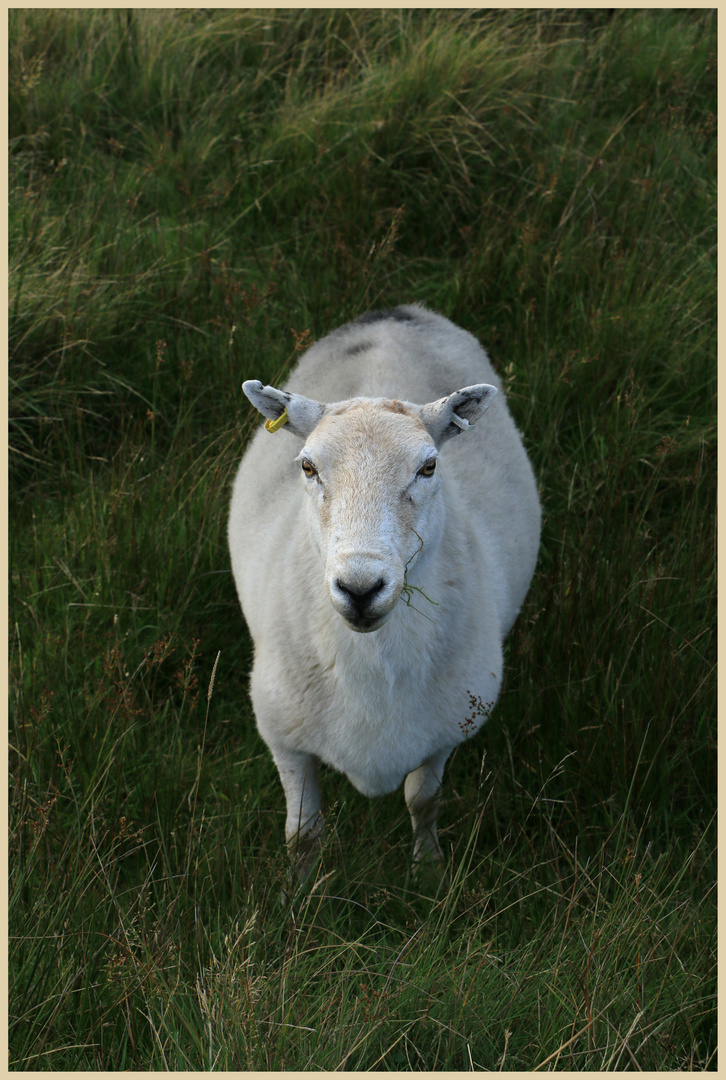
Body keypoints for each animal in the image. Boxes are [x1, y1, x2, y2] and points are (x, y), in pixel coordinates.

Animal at [226, 304, 538, 876]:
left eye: (429, 466)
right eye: (308, 466)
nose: (360, 587)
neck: (370, 666)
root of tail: (397, 312)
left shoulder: (444, 729)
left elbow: (423, 801)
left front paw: (428, 870)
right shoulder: (284, 736)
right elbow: (303, 834)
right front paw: (299, 891)